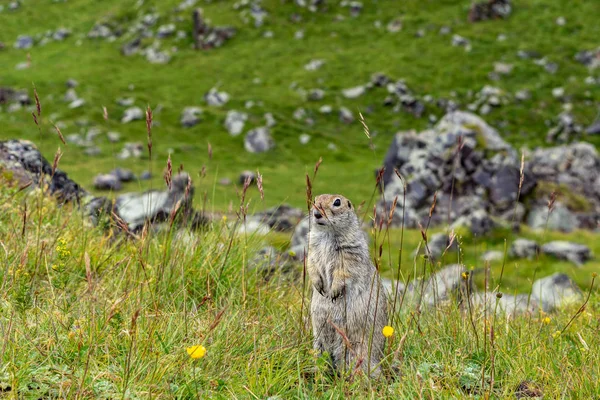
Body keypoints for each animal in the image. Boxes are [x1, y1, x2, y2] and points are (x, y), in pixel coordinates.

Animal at [308, 194, 386, 376]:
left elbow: (344, 272)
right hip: (318, 344)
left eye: (337, 202)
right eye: (314, 199)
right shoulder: (312, 249)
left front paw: (333, 292)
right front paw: (319, 286)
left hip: (356, 351)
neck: (327, 234)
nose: (316, 213)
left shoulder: (350, 252)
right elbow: (311, 265)